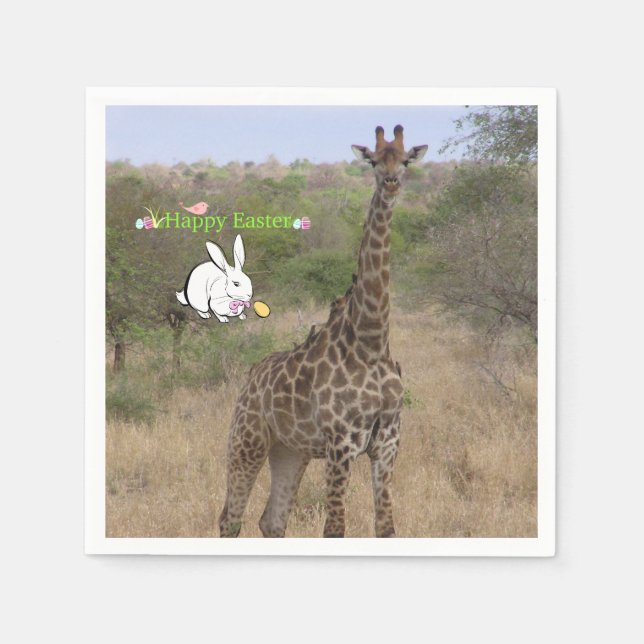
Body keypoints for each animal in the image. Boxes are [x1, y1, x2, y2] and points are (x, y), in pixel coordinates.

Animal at [218, 125, 428, 538]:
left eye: (406, 160)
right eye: (373, 161)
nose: (391, 182)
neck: (371, 341)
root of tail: (250, 377)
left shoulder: (388, 443)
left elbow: (386, 528)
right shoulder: (340, 443)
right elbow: (334, 529)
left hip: (290, 450)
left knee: (272, 520)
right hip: (248, 438)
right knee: (230, 519)